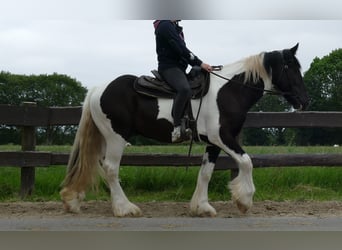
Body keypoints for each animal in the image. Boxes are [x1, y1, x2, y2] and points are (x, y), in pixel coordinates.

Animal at [59, 43, 310, 217]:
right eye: (292, 68)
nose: (305, 102)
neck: (229, 91)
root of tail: (98, 88)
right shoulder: (224, 137)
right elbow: (247, 162)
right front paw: (244, 201)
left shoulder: (212, 142)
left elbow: (206, 172)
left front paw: (202, 207)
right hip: (116, 137)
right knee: (111, 169)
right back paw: (124, 208)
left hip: (104, 137)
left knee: (89, 163)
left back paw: (73, 201)